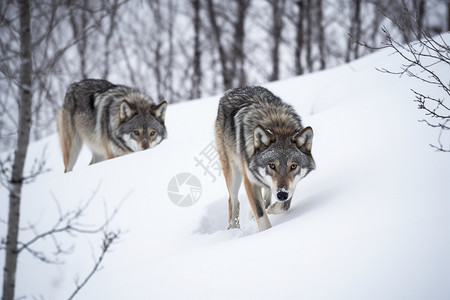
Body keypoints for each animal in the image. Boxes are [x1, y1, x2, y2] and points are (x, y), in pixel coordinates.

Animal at [215, 86, 316, 232]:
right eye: (272, 165)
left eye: (293, 166)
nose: (281, 195)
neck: (277, 125)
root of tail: (231, 91)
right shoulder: (250, 183)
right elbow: (261, 215)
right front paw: (266, 232)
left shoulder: (291, 184)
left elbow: (284, 205)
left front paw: (273, 208)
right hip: (233, 174)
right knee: (233, 200)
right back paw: (233, 229)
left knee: (266, 194)